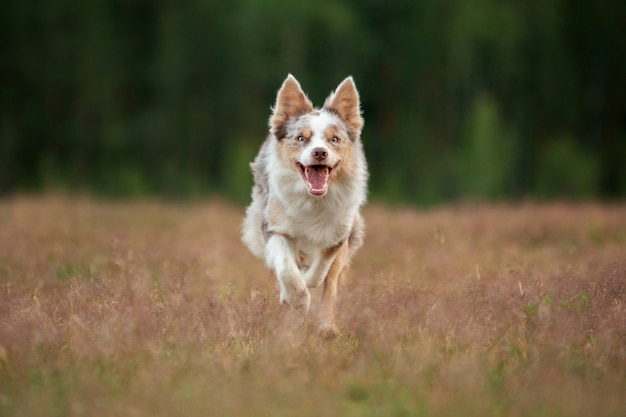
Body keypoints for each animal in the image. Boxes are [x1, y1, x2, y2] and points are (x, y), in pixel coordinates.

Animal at [239, 75, 366, 334]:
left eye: (334, 139)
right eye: (301, 138)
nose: (319, 152)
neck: (313, 200)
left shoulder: (338, 235)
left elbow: (320, 272)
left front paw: (306, 283)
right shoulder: (274, 227)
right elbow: (287, 269)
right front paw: (295, 297)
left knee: (330, 287)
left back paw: (327, 329)